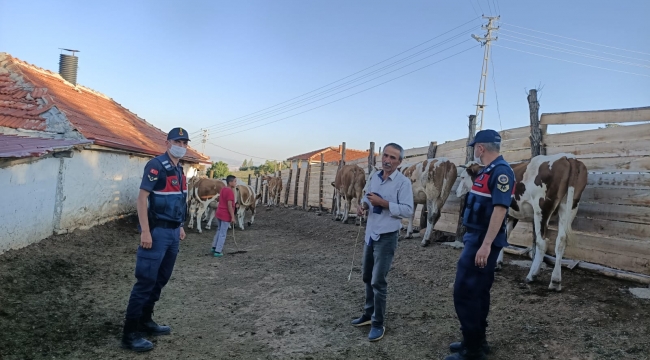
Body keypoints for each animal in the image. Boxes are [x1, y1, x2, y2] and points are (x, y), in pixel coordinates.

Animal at [456, 153, 588, 292]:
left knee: (542, 242)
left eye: (463, 177)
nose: (457, 192)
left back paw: (532, 275)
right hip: (569, 207)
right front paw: (498, 263)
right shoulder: (512, 214)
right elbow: (504, 237)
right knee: (561, 241)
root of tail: (568, 157)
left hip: (541, 209)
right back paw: (555, 281)